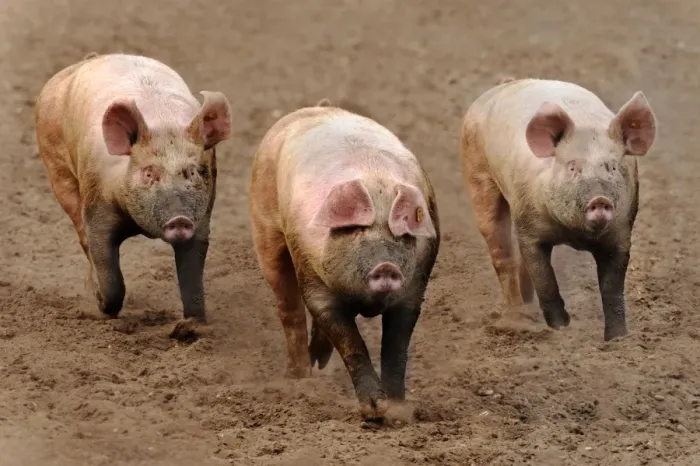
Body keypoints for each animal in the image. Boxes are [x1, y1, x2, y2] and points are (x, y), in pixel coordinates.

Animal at [35, 53, 232, 322]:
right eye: (149, 173)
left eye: (192, 172)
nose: (179, 219)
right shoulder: (97, 203)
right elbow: (105, 263)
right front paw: (105, 309)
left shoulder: (202, 217)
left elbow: (192, 274)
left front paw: (193, 324)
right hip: (57, 167)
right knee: (81, 235)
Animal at [249, 102, 440, 422]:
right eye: (357, 230)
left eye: (400, 234)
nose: (386, 267)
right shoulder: (312, 277)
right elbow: (349, 340)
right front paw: (374, 412)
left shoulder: (415, 287)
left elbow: (396, 348)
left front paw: (397, 412)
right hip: (265, 227)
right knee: (289, 308)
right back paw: (299, 378)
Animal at [460, 78, 657, 341]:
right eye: (573, 167)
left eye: (613, 168)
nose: (600, 199)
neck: (574, 234)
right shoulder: (529, 225)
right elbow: (545, 278)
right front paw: (561, 328)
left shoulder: (622, 232)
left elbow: (612, 289)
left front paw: (618, 339)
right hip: (478, 175)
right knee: (502, 253)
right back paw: (516, 321)